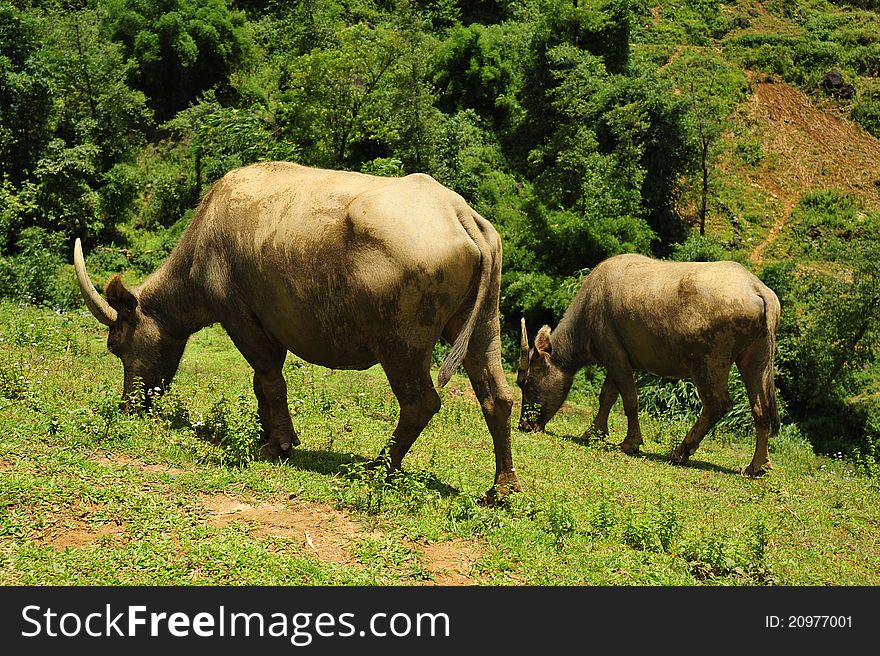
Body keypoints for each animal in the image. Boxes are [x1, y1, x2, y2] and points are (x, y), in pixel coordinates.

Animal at [75, 161, 524, 500]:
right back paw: (502, 488)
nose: (129, 405)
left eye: (117, 346)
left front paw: (279, 443)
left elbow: (270, 381)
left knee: (420, 402)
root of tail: (459, 214)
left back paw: (378, 467)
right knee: (497, 396)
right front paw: (266, 431)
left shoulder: (240, 318)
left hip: (402, 342)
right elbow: (261, 384)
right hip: (482, 322)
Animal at [520, 252, 780, 476]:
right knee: (761, 408)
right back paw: (757, 465)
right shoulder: (618, 358)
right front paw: (593, 432)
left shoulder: (615, 356)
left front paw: (630, 443)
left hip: (708, 361)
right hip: (756, 356)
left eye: (526, 383)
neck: (588, 312)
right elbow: (607, 396)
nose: (524, 425)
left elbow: (629, 400)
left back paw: (681, 452)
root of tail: (756, 287)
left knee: (717, 404)